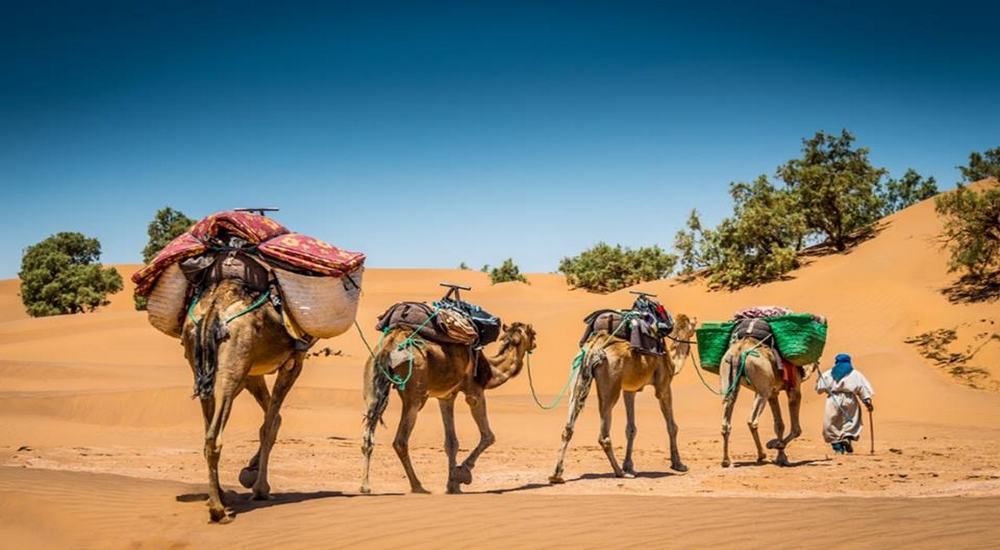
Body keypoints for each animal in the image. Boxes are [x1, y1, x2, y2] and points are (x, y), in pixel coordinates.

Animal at [180, 278, 304, 524]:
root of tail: (213, 310)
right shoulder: (294, 360)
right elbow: (269, 425)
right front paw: (260, 488)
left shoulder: (251, 373)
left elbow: (274, 420)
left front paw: (251, 471)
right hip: (232, 362)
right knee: (214, 436)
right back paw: (218, 510)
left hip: (202, 366)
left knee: (207, 431)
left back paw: (218, 496)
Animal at [358, 322, 532, 494]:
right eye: (532, 333)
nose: (535, 342)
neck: (491, 371)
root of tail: (389, 345)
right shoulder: (474, 391)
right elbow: (488, 436)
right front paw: (462, 473)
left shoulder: (446, 396)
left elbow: (451, 443)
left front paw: (452, 485)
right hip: (415, 388)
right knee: (400, 440)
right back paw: (418, 486)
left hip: (371, 382)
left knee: (368, 436)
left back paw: (365, 486)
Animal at [548, 312, 696, 486]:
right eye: (692, 325)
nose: (697, 321)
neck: (671, 358)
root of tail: (593, 348)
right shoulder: (663, 385)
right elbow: (672, 426)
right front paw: (678, 464)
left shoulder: (629, 389)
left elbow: (631, 429)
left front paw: (629, 466)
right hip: (611, 383)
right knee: (603, 433)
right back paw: (620, 472)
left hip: (577, 373)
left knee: (568, 425)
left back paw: (556, 475)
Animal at [724, 334, 816, 468]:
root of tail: (739, 351)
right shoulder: (794, 388)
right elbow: (796, 429)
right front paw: (777, 445)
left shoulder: (773, 394)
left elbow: (779, 425)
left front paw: (782, 458)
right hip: (762, 388)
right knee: (752, 420)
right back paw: (761, 455)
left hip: (729, 378)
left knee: (726, 420)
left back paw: (726, 460)